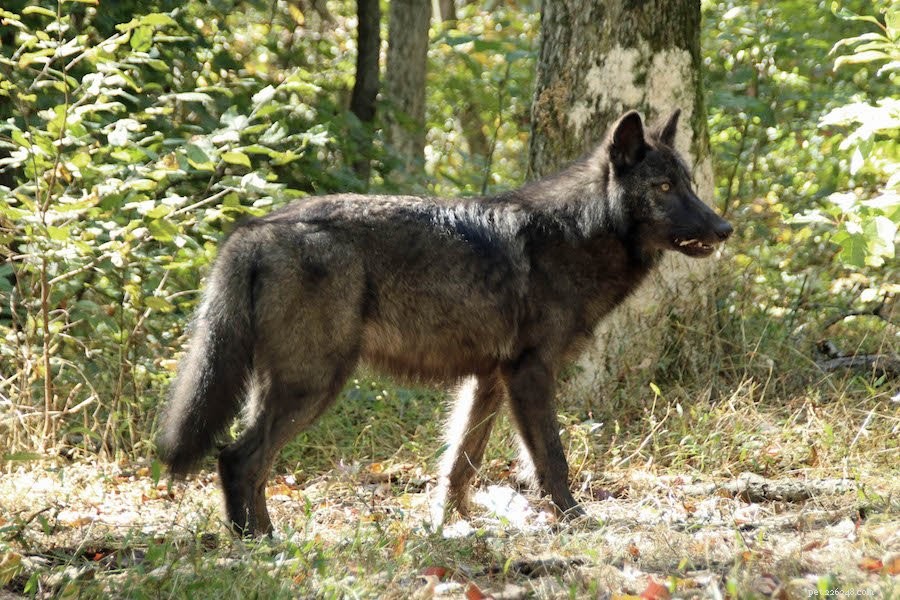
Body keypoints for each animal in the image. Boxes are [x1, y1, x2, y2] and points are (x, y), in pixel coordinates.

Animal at [157, 109, 733, 535]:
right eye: (663, 187)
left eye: (689, 183)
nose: (725, 228)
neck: (577, 234)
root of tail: (253, 229)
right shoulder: (530, 375)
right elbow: (551, 459)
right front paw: (575, 521)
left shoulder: (489, 380)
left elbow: (461, 463)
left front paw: (450, 525)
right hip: (314, 385)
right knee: (238, 458)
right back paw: (262, 543)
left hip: (288, 387)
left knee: (248, 463)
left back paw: (262, 536)